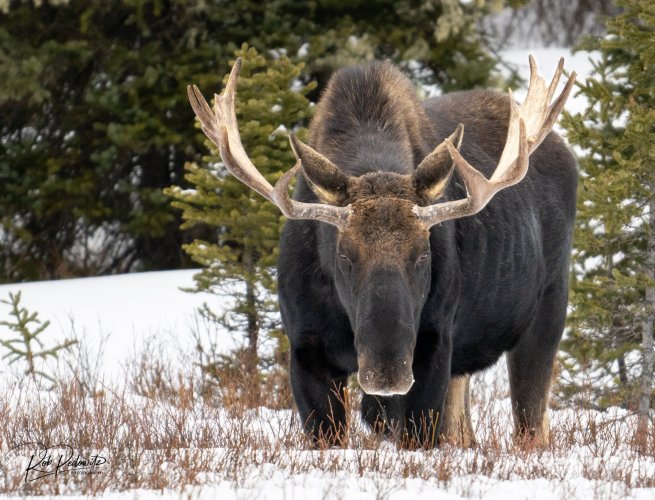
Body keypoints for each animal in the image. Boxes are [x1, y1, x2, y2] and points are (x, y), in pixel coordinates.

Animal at [187, 55, 576, 450]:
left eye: (423, 254)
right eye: (344, 256)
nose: (386, 373)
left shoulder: (434, 341)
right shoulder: (305, 346)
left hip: (549, 307)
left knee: (531, 421)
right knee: (463, 425)